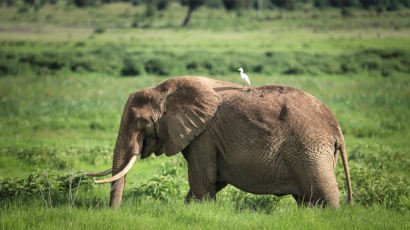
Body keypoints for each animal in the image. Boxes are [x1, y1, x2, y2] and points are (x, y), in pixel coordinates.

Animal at [86, 76, 352, 208]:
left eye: (141, 123)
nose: (113, 213)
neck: (164, 89)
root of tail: (337, 128)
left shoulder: (204, 136)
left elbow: (203, 181)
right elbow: (213, 182)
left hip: (310, 151)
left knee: (325, 196)